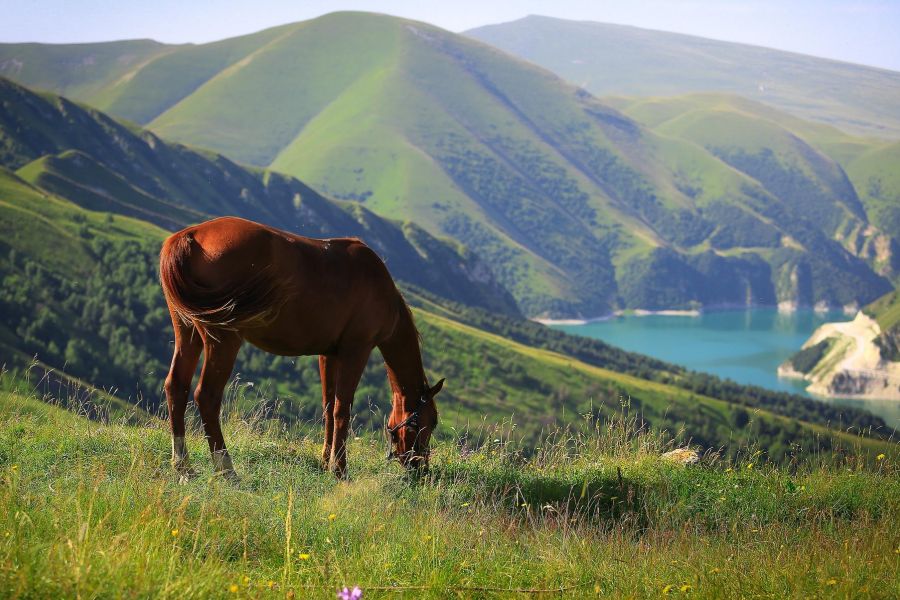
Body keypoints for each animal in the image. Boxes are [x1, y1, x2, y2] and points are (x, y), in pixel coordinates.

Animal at [162, 216, 446, 478]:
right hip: (223, 340)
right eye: (430, 422)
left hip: (187, 330)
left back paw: (183, 466)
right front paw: (340, 470)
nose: (421, 470)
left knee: (176, 386)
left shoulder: (329, 355)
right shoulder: (357, 350)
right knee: (207, 396)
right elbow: (343, 410)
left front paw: (325, 463)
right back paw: (227, 471)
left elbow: (329, 407)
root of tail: (189, 236)